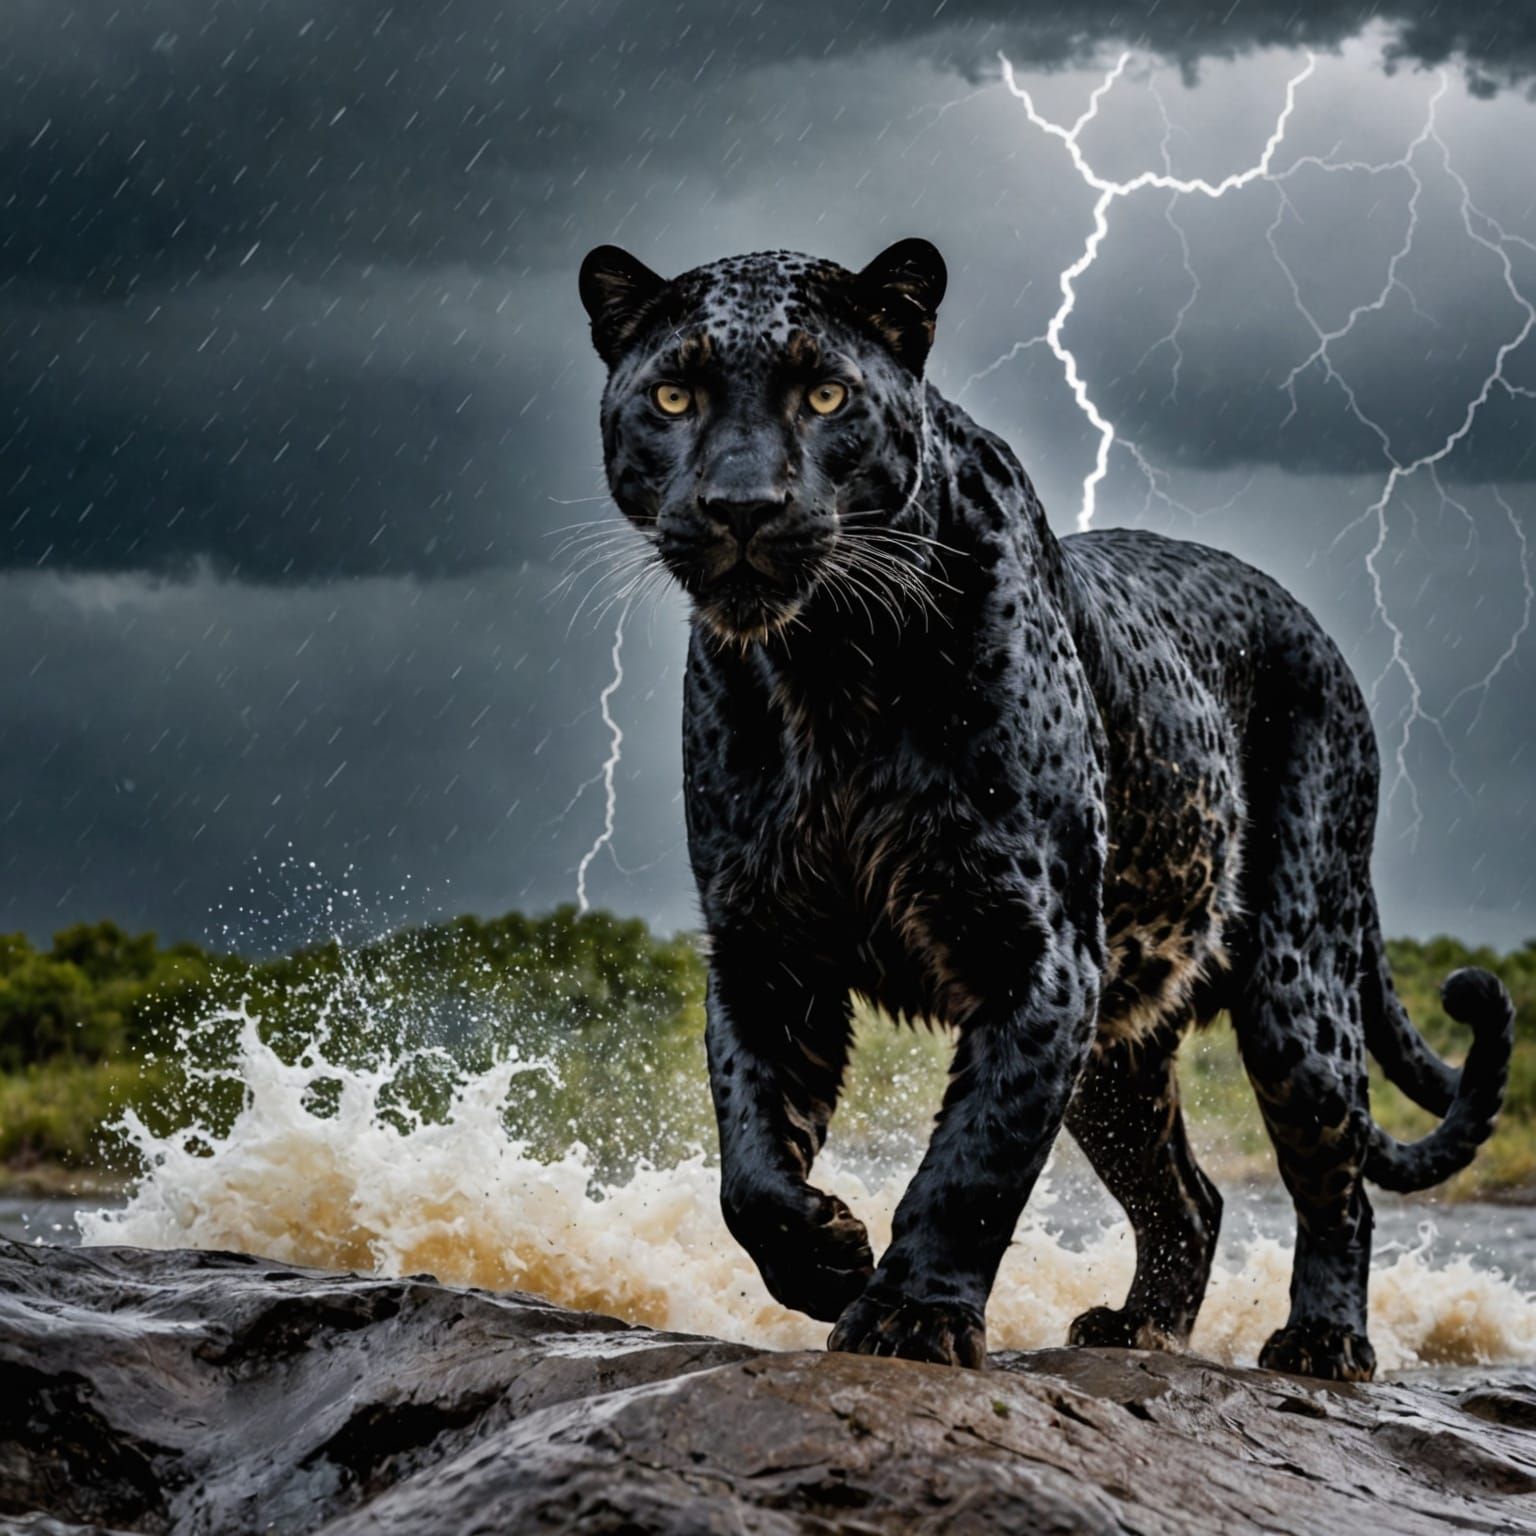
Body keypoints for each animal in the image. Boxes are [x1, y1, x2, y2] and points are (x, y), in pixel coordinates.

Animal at [576, 236, 1515, 1380]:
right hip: (1120, 1057)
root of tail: (1316, 631)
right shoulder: (767, 945)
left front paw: (909, 1318)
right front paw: (827, 1255)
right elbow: (748, 1160)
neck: (830, 665)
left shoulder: (1038, 953)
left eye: (826, 392)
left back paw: (1322, 1342)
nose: (742, 506)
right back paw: (1136, 1328)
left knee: (1335, 1181)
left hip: (1296, 994)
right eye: (673, 395)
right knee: (1191, 1197)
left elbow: (975, 1163)